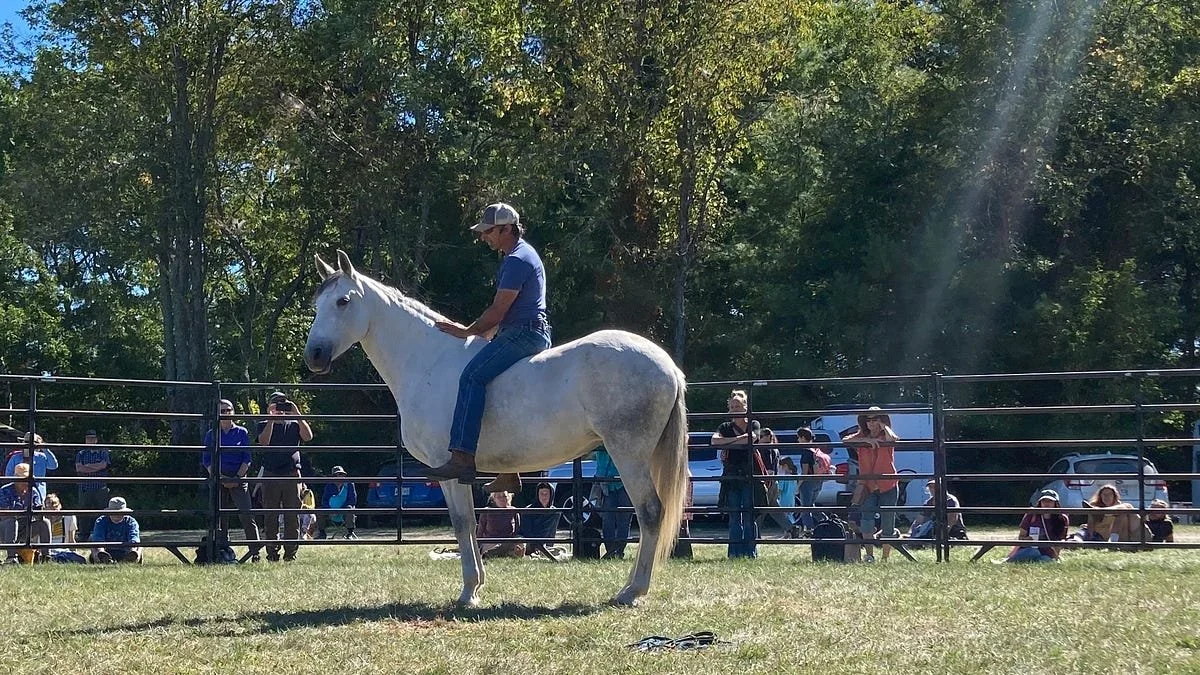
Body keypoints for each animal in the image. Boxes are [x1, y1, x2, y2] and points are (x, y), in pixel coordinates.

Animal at [303, 250, 689, 607]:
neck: (428, 362)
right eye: (316, 303)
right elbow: (471, 524)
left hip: (629, 454)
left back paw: (632, 591)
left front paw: (468, 592)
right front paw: (477, 586)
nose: (314, 356)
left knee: (649, 512)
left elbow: (461, 523)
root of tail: (668, 365)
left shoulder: (447, 469)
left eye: (342, 301)